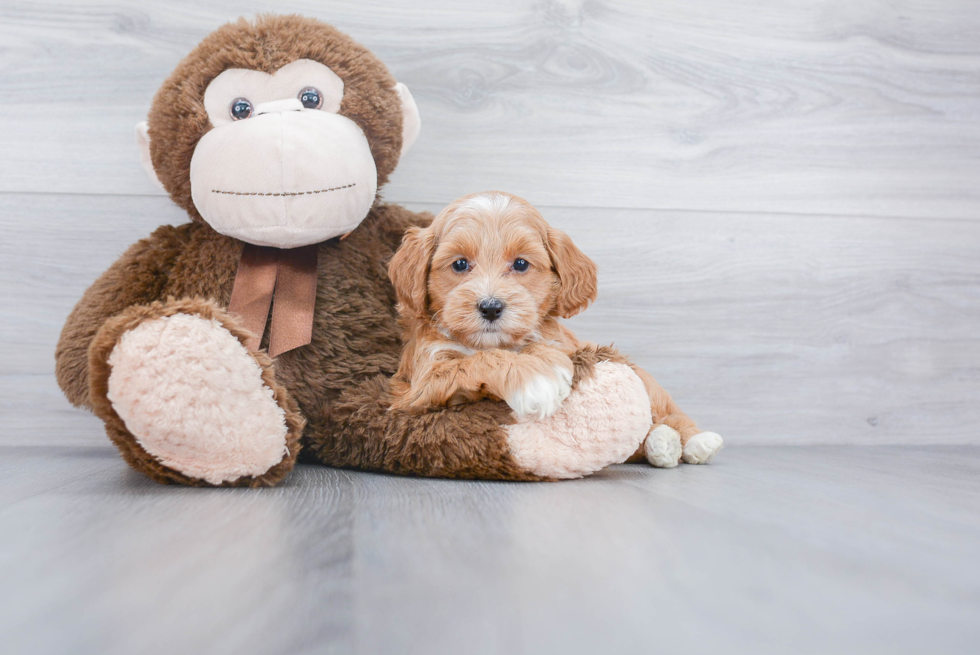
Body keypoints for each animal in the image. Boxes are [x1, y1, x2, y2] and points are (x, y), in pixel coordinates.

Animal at [386, 192, 724, 468]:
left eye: (521, 264)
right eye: (459, 264)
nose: (491, 307)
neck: (497, 342)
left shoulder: (562, 343)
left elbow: (543, 346)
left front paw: (541, 363)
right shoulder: (424, 380)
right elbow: (478, 360)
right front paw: (536, 381)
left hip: (646, 381)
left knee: (666, 409)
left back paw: (696, 442)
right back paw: (662, 444)